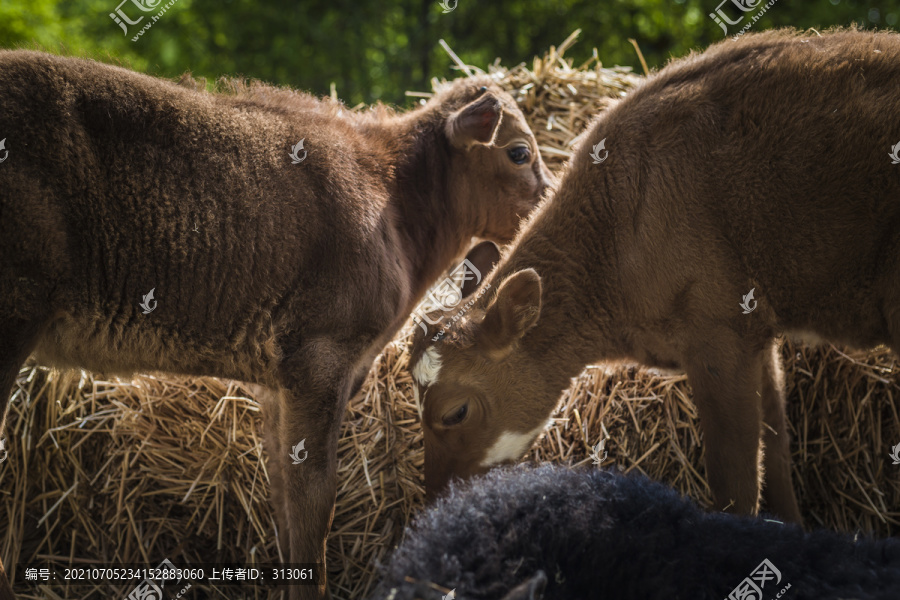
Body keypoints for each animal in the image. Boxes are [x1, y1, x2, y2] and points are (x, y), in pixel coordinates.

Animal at [0, 52, 552, 600]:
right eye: (519, 152)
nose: (549, 200)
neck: (393, 202)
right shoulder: (320, 357)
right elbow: (313, 500)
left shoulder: (276, 382)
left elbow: (284, 498)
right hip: (16, 309)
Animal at [412, 29, 900, 524]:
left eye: (455, 413)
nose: (433, 506)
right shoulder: (757, 335)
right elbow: (777, 456)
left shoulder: (719, 334)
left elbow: (735, 481)